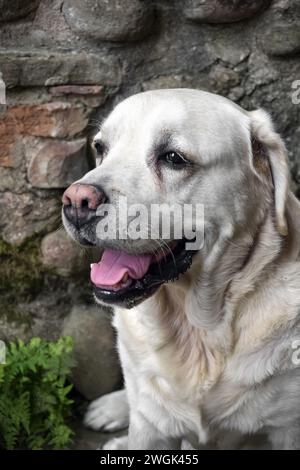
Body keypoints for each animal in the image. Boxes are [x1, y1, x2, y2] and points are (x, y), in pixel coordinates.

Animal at [62, 90, 300, 450]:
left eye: (173, 158)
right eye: (101, 148)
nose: (76, 200)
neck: (200, 332)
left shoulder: (288, 428)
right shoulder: (151, 429)